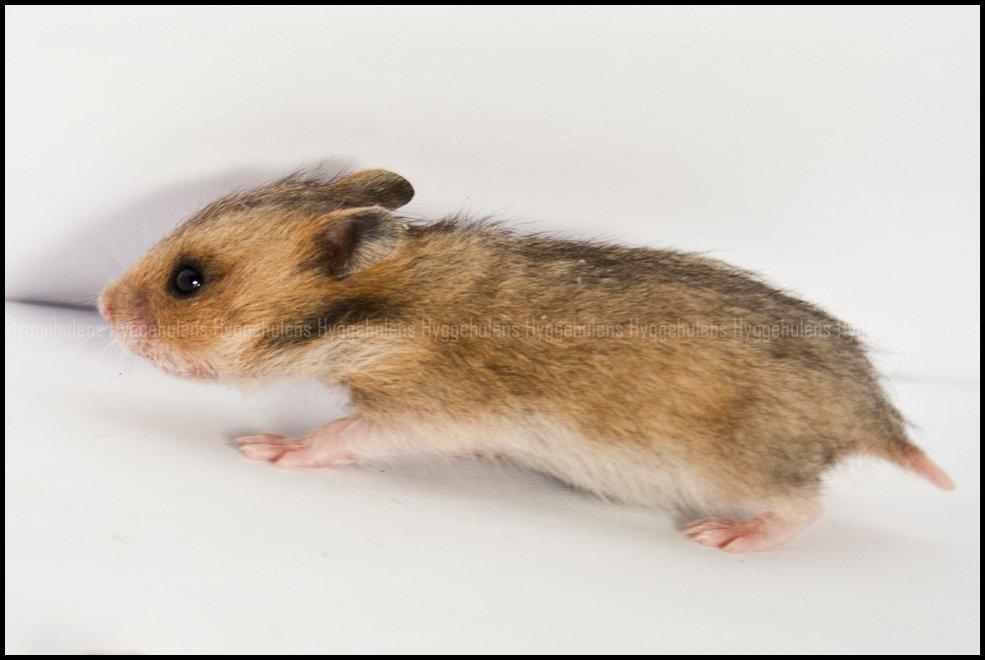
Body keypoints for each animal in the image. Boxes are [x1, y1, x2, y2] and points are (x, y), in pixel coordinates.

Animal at [99, 167, 954, 553]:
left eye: (189, 281)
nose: (103, 304)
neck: (383, 309)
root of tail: (875, 418)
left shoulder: (423, 410)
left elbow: (343, 435)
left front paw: (264, 448)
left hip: (745, 468)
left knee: (806, 508)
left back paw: (722, 537)